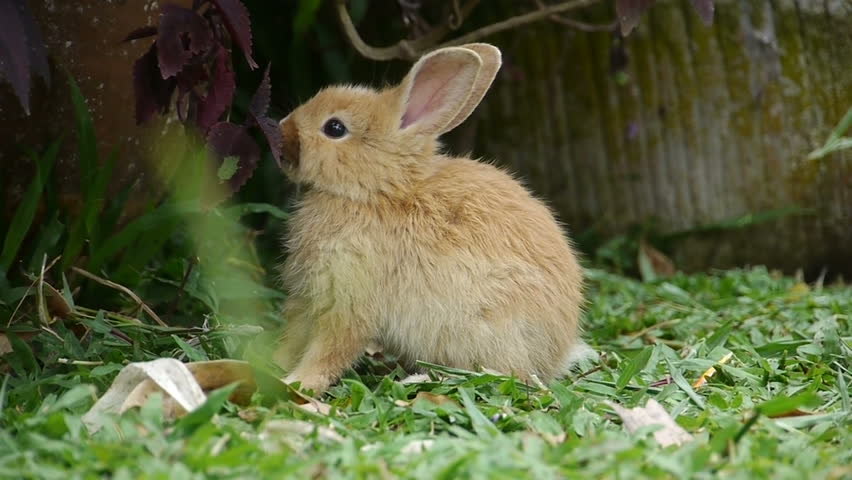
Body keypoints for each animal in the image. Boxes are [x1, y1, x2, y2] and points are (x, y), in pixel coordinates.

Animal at [273, 43, 590, 394]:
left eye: (335, 128)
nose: (280, 132)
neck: (374, 193)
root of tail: (556, 356)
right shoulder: (309, 299)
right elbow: (292, 338)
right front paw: (267, 363)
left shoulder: (349, 300)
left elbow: (331, 349)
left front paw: (296, 383)